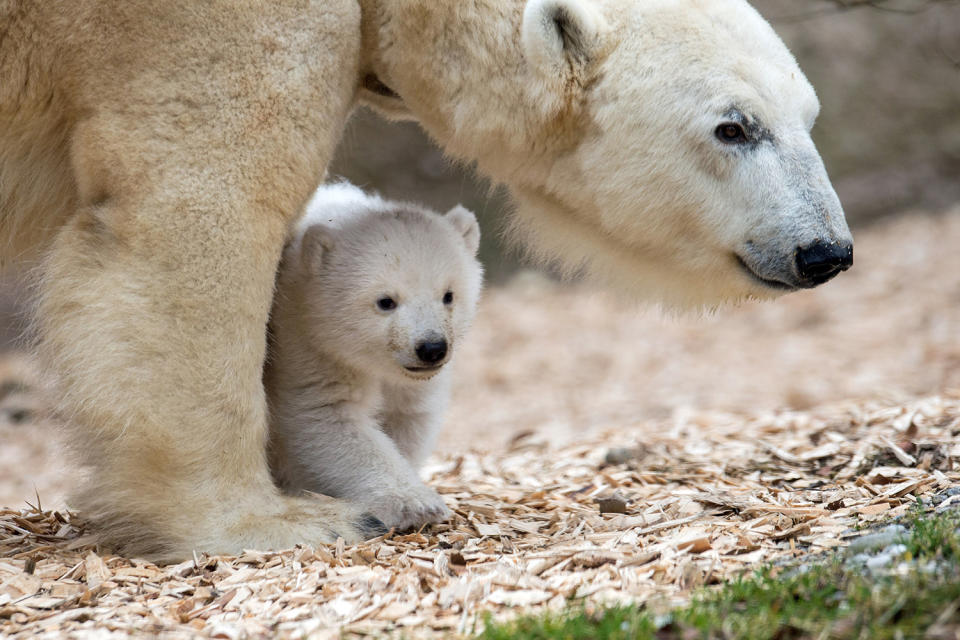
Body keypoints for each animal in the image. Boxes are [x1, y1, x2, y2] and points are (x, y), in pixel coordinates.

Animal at [3, 0, 852, 560]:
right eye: (733, 127)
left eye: (810, 115)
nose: (825, 251)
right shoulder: (194, 27)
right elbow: (199, 211)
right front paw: (273, 521)